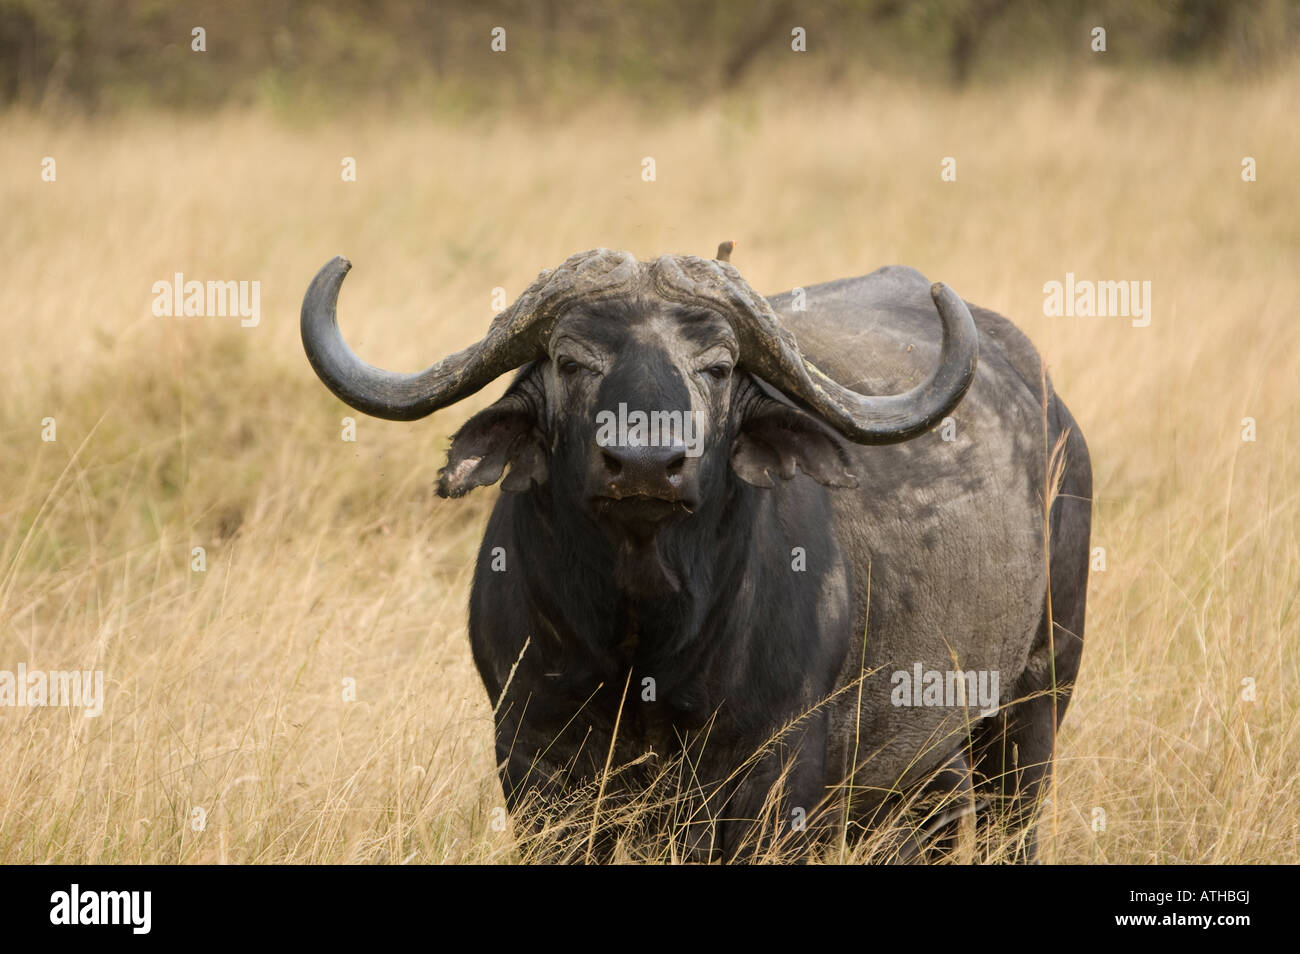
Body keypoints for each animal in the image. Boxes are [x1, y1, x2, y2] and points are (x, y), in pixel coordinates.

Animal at [301, 250, 1086, 863]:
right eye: (570, 360)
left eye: (717, 366)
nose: (647, 464)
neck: (644, 637)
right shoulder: (532, 760)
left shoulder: (774, 776)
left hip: (1038, 697)